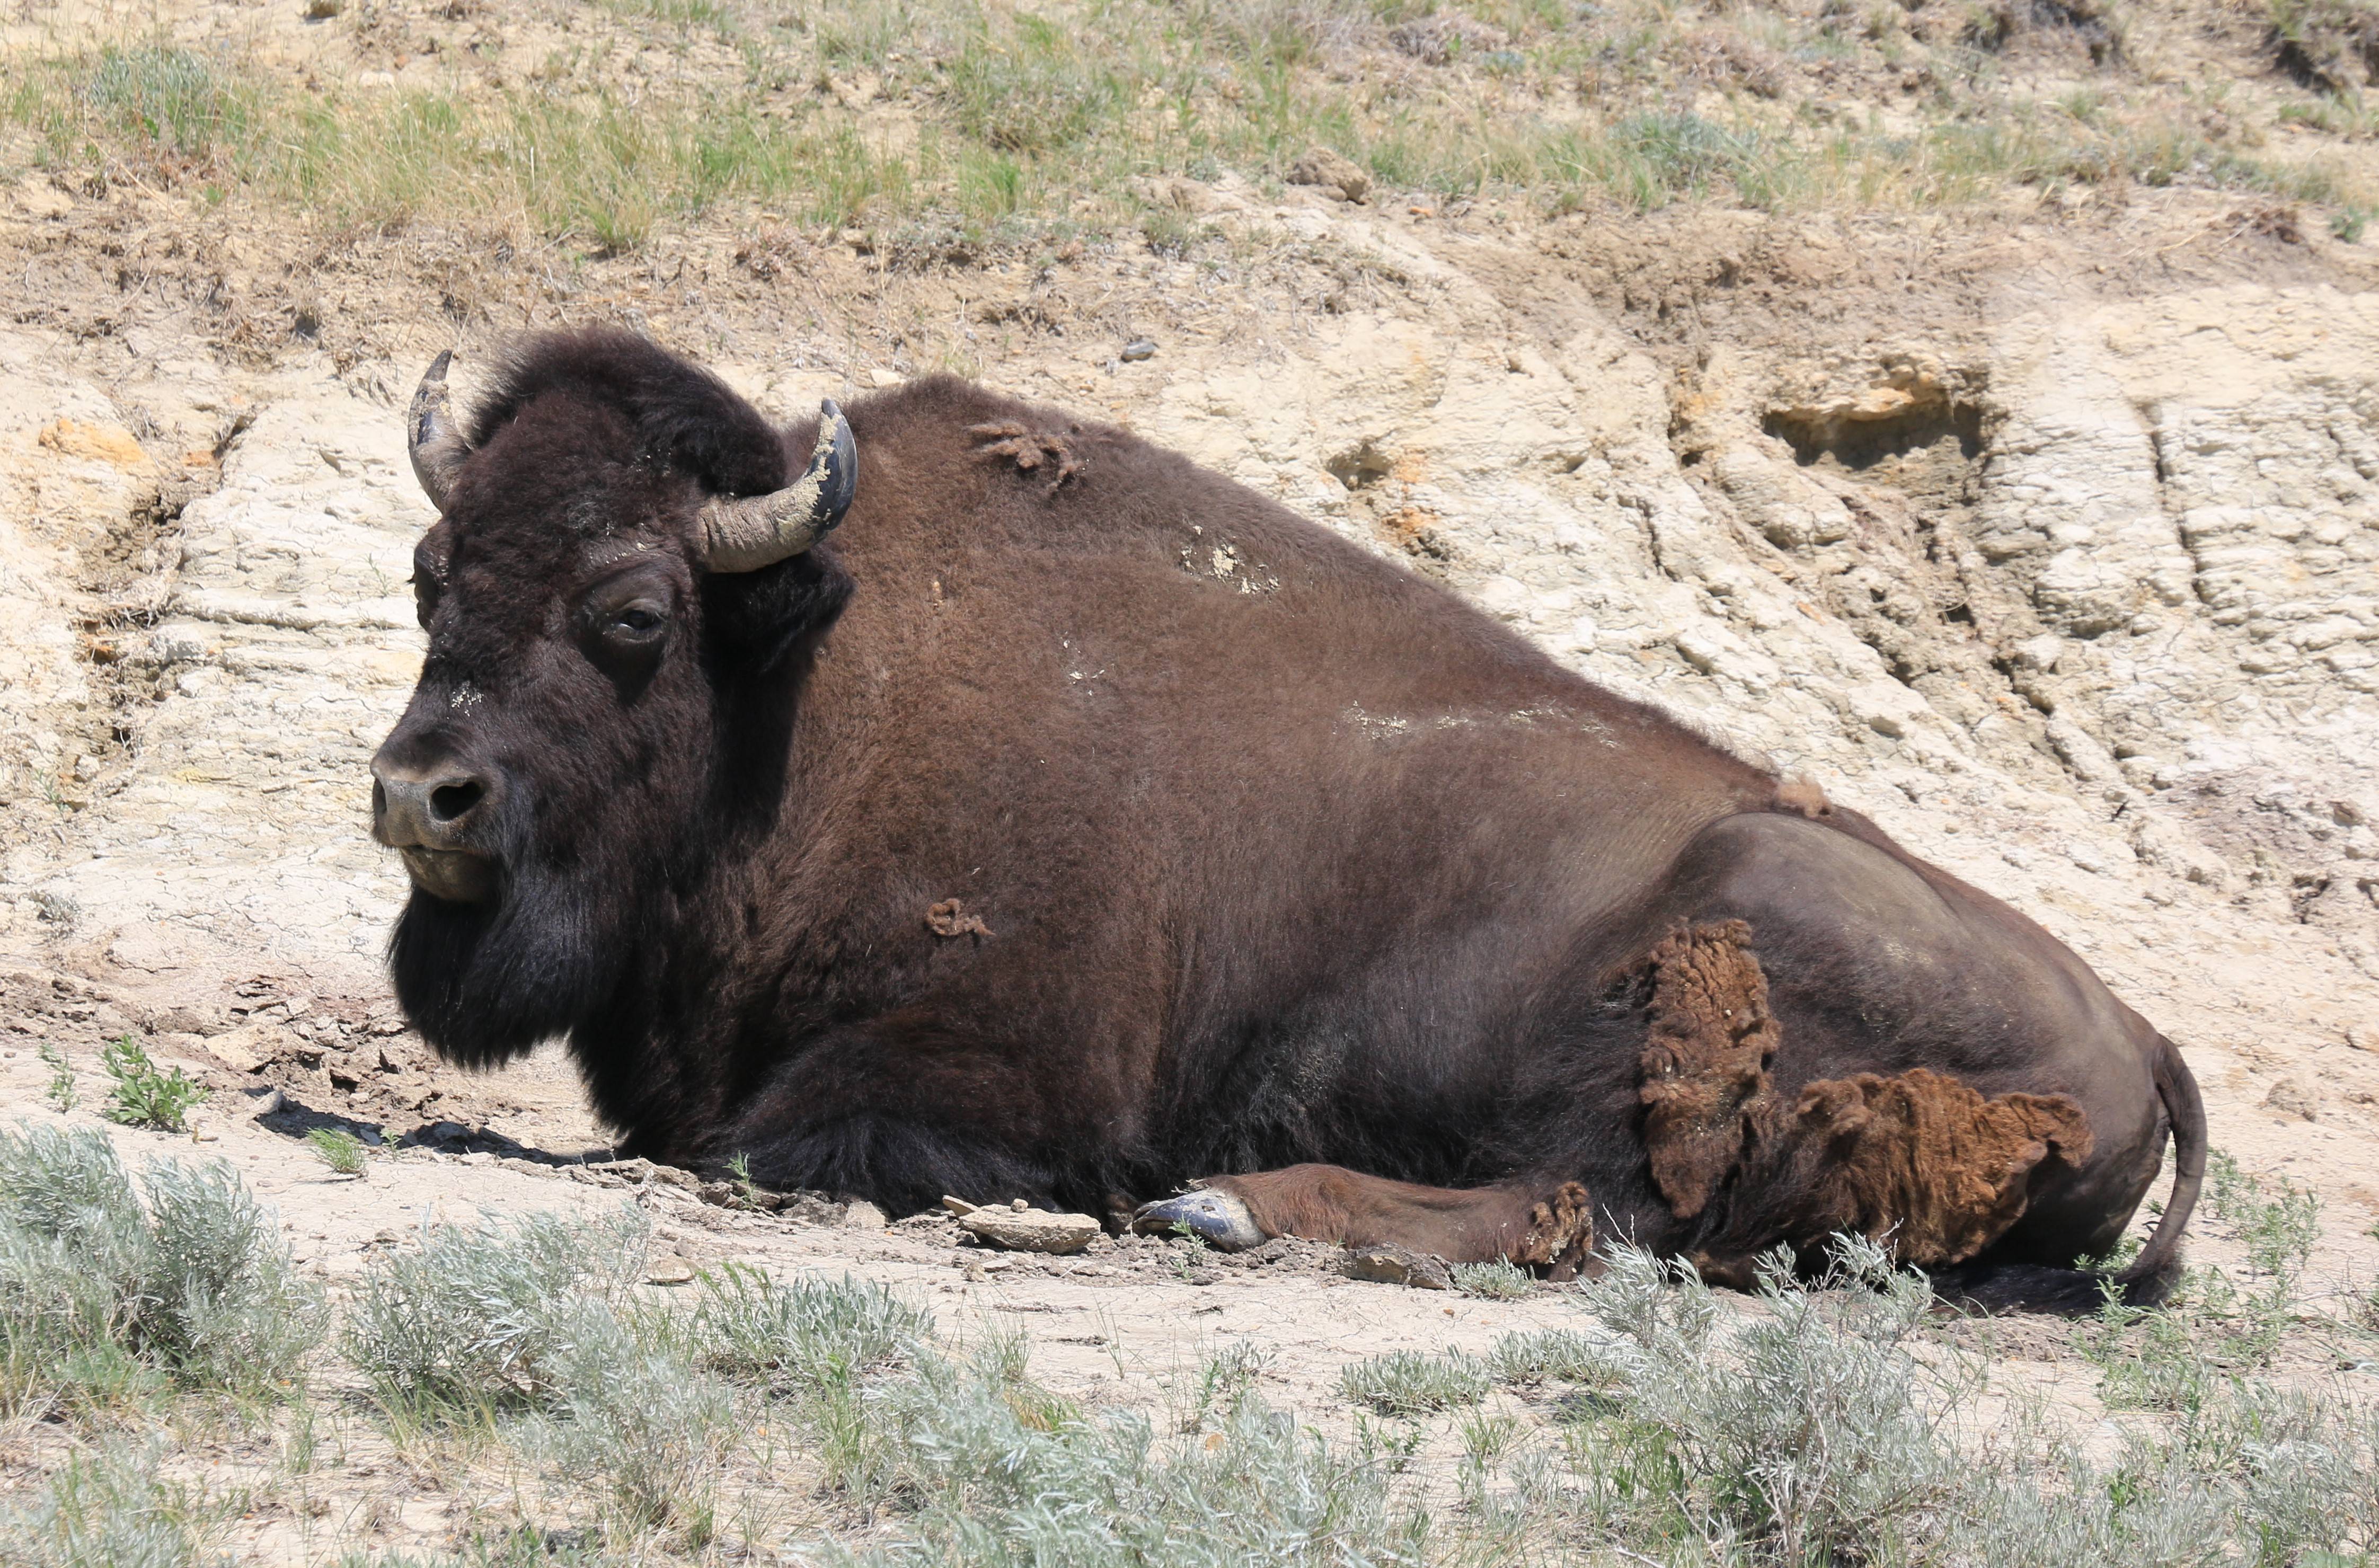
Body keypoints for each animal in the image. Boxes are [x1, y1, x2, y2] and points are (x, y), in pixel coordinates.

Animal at [371, 331, 2207, 1313]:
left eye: (630, 609)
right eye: (429, 573)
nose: (418, 792)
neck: (816, 682)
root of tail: (2141, 1033)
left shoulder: (975, 1075)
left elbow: (766, 1145)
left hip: (1700, 979)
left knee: (1579, 1212)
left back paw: (1222, 1205)